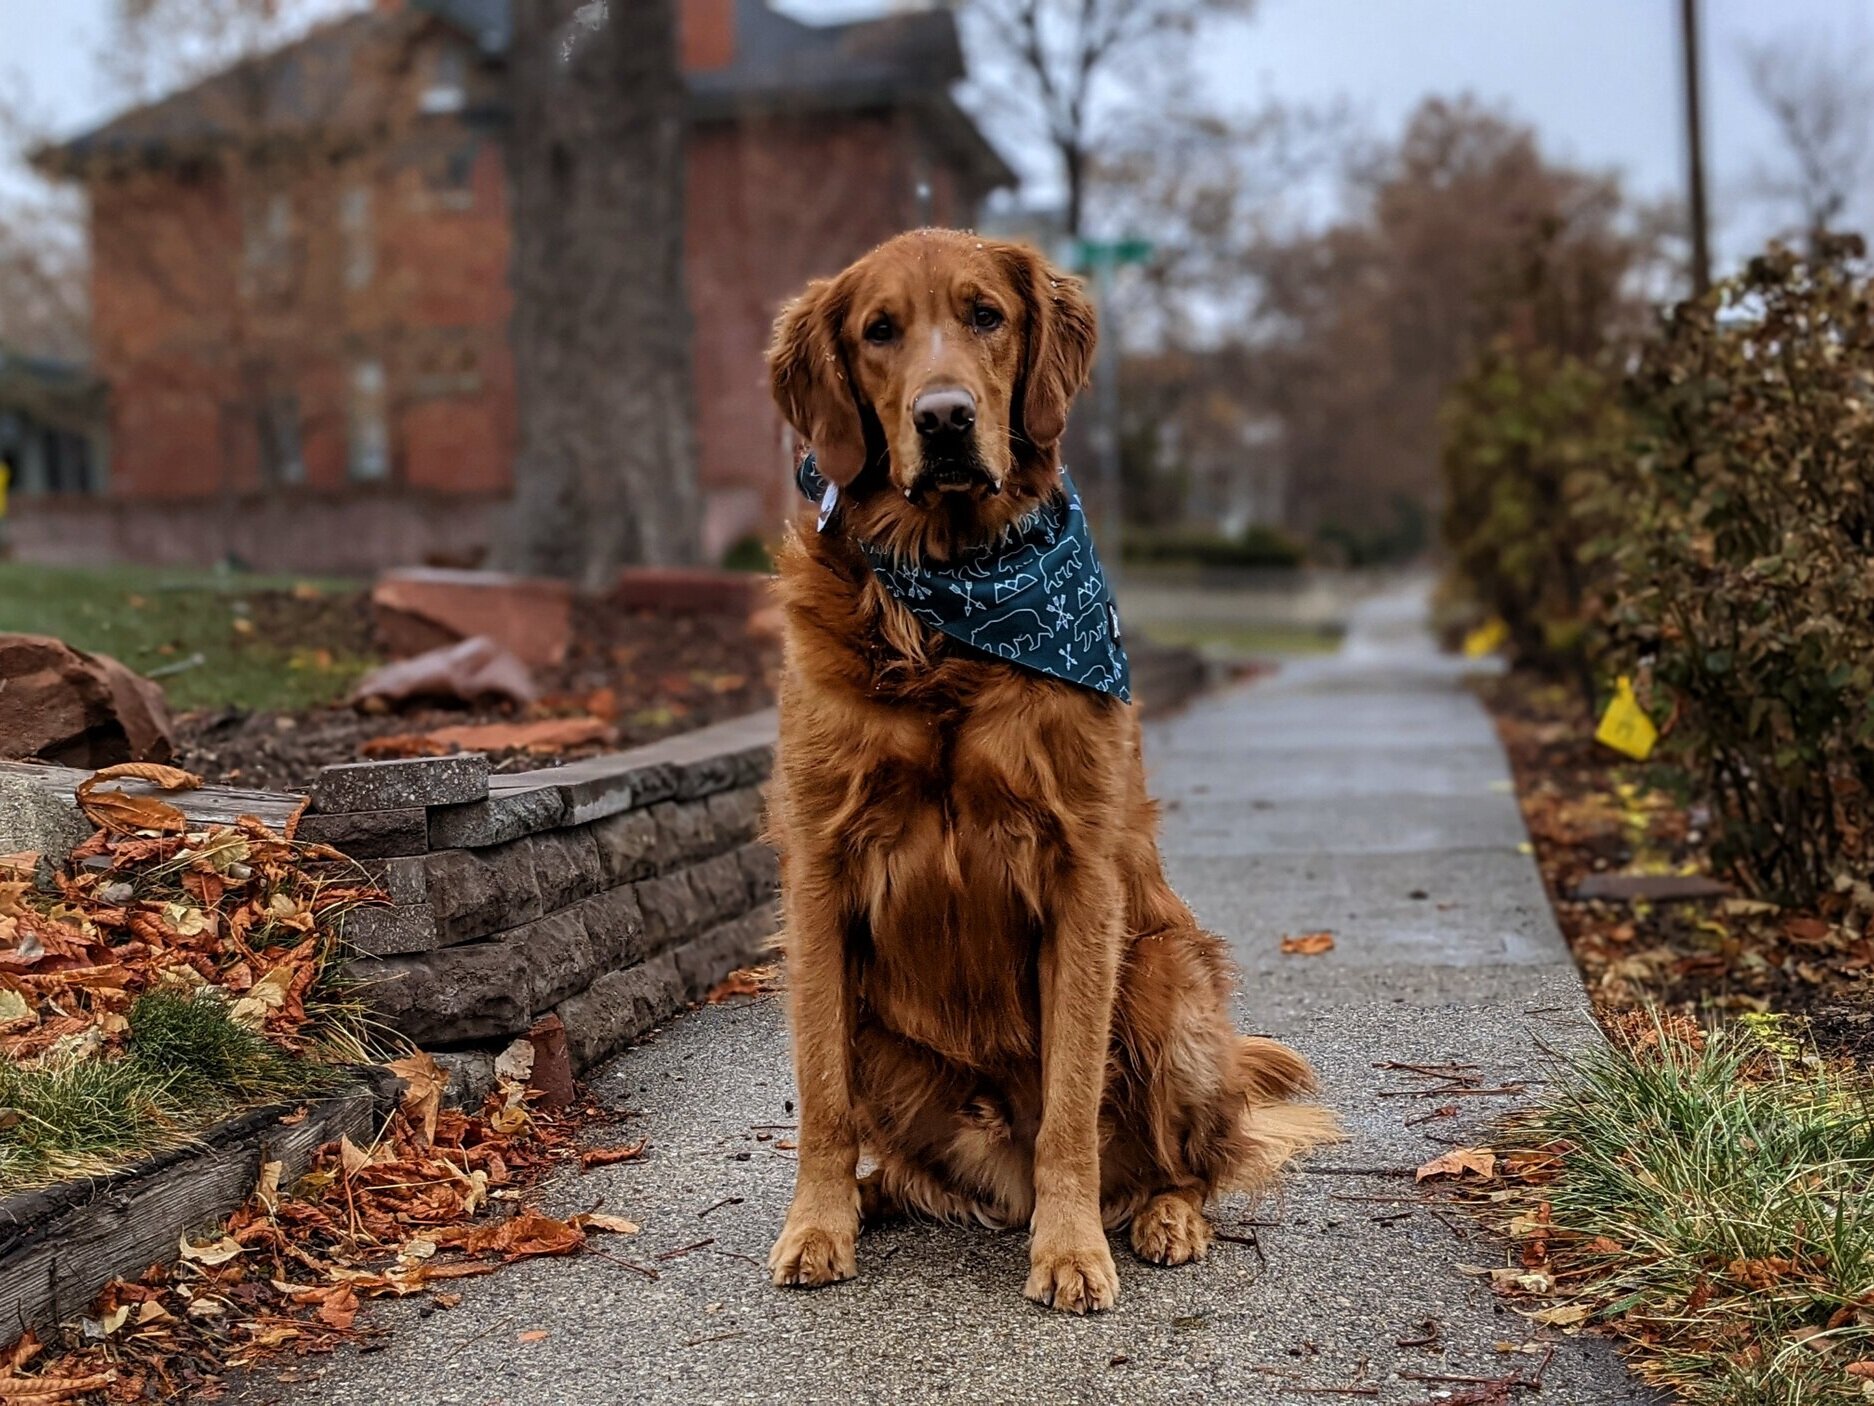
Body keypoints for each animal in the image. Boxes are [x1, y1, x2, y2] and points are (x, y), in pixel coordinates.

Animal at [757, 225, 1334, 1319]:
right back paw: (879, 1195)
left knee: (1190, 1161)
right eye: (879, 331)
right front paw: (815, 1224)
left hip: (1163, 977)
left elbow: (1070, 1102)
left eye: (985, 315)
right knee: (903, 1159)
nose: (944, 419)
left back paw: (1162, 1217)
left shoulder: (1079, 875)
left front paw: (1069, 1251)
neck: (952, 605)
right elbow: (821, 1093)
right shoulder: (816, 869)